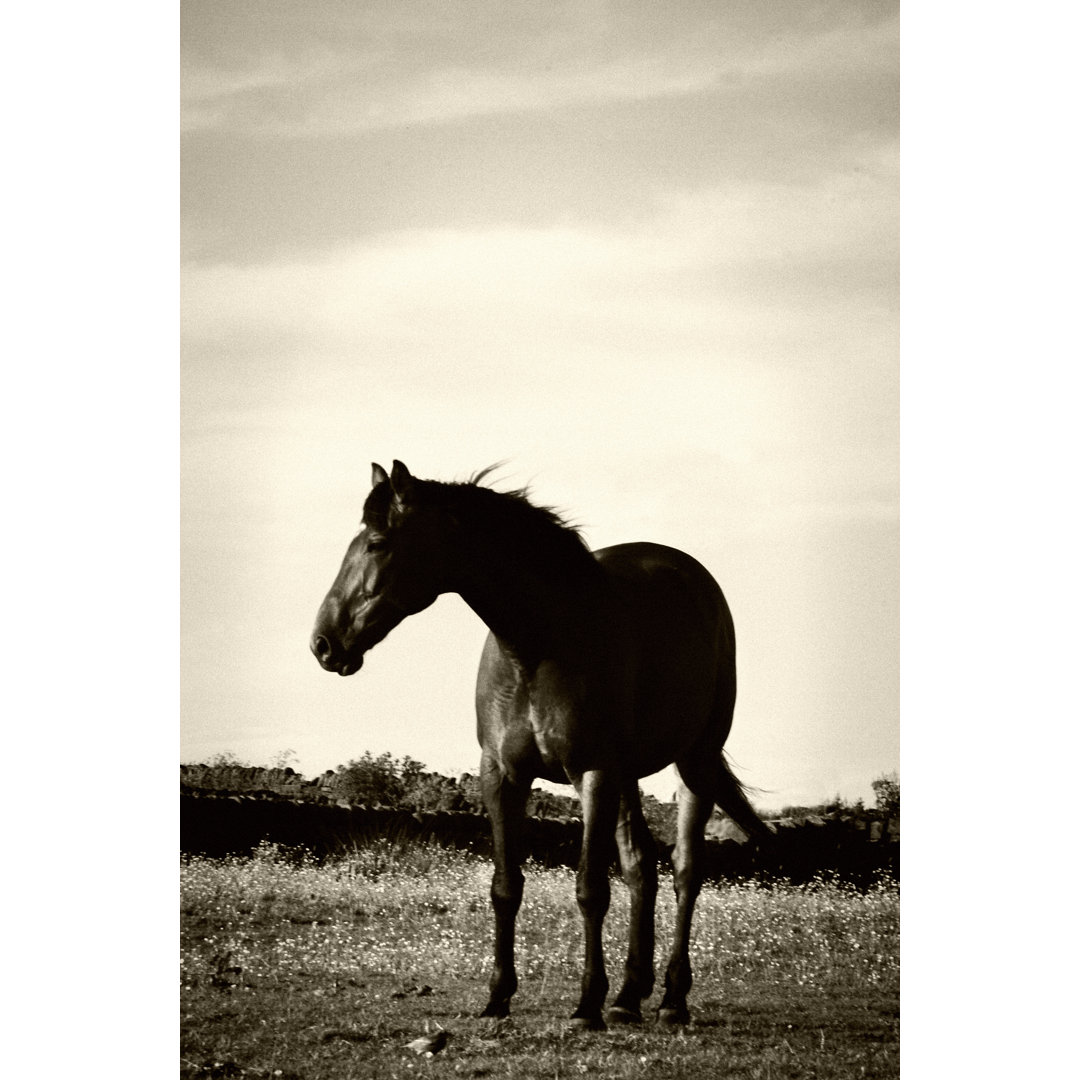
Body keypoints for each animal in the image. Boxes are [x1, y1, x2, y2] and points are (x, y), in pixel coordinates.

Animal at [308, 457, 773, 1028]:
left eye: (376, 542)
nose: (323, 643)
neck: (539, 644)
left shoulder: (592, 772)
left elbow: (590, 889)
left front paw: (586, 1005)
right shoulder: (502, 775)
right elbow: (506, 887)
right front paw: (498, 998)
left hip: (694, 762)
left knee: (686, 871)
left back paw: (670, 999)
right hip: (630, 777)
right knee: (641, 867)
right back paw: (628, 997)